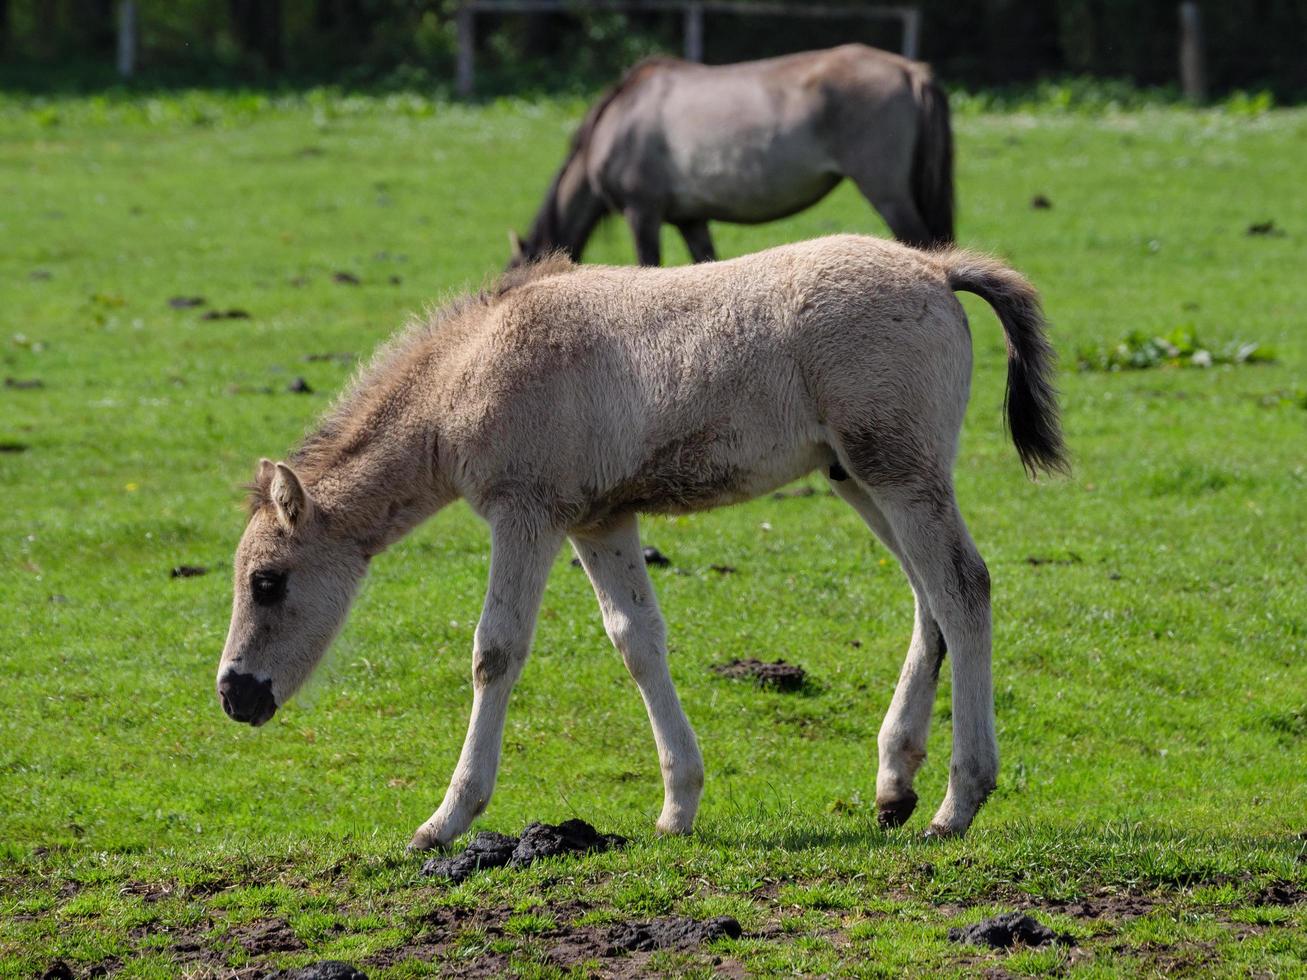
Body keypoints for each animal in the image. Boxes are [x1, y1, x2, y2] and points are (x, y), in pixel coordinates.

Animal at [214, 236, 1061, 851]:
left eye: (267, 582)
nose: (233, 695)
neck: (471, 370)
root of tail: (935, 268)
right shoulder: (600, 519)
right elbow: (636, 641)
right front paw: (677, 806)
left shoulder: (527, 513)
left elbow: (496, 651)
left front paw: (445, 821)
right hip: (858, 476)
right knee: (929, 602)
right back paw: (893, 786)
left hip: (898, 470)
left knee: (962, 589)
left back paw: (956, 802)